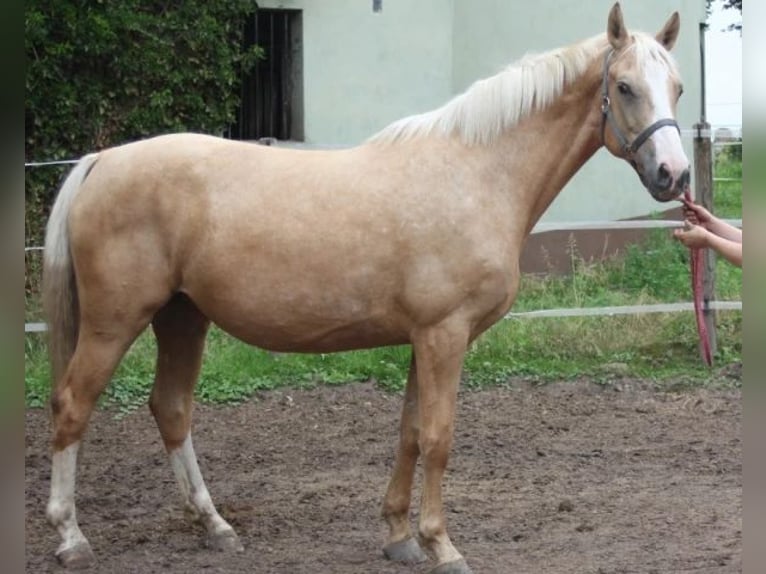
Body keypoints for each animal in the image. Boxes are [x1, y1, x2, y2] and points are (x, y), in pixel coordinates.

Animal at [42, 4, 688, 574]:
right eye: (625, 87)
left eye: (677, 88)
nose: (674, 175)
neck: (476, 173)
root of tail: (101, 161)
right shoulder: (444, 335)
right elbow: (438, 437)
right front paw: (442, 545)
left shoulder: (423, 339)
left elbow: (409, 433)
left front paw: (400, 537)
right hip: (115, 322)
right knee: (73, 407)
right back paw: (71, 538)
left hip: (181, 317)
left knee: (171, 408)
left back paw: (216, 526)